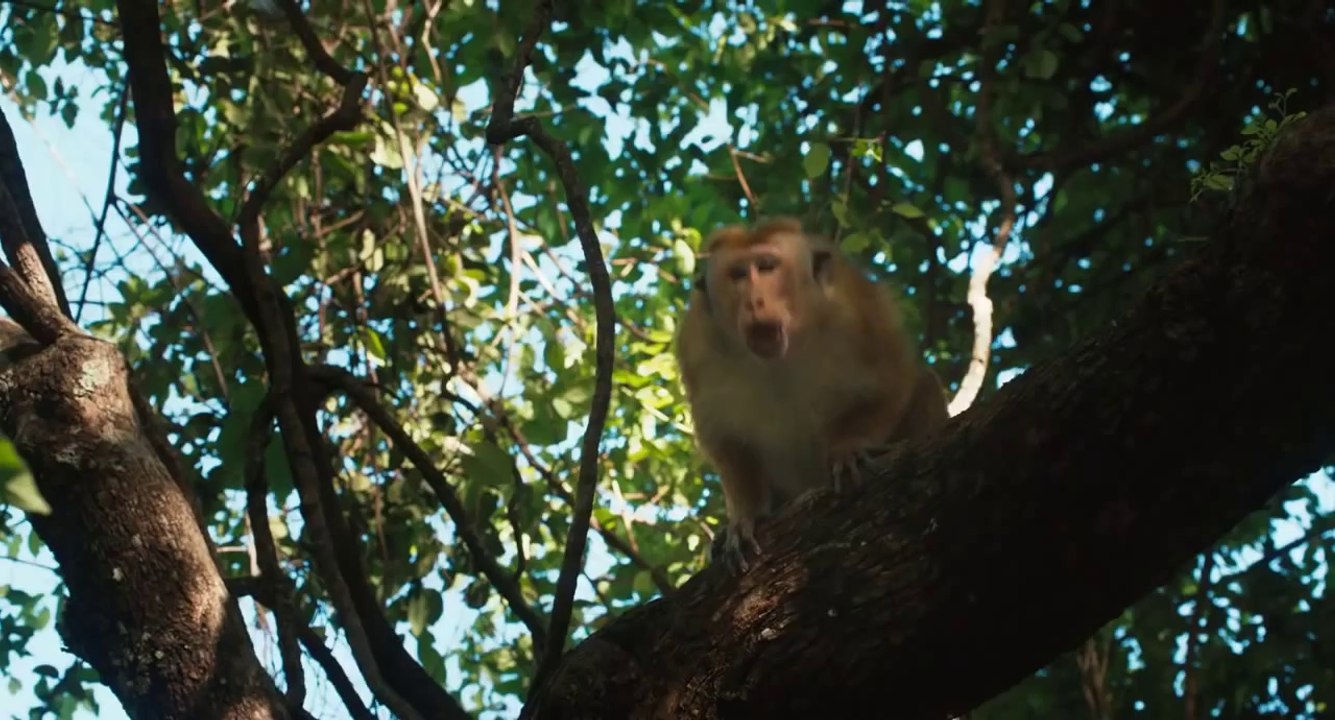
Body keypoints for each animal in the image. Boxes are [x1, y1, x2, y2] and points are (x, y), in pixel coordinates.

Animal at [674, 217, 949, 572]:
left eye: (766, 266)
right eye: (738, 275)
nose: (754, 301)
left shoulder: (856, 307)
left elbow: (893, 377)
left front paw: (848, 447)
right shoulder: (698, 344)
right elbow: (725, 439)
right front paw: (746, 517)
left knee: (925, 384)